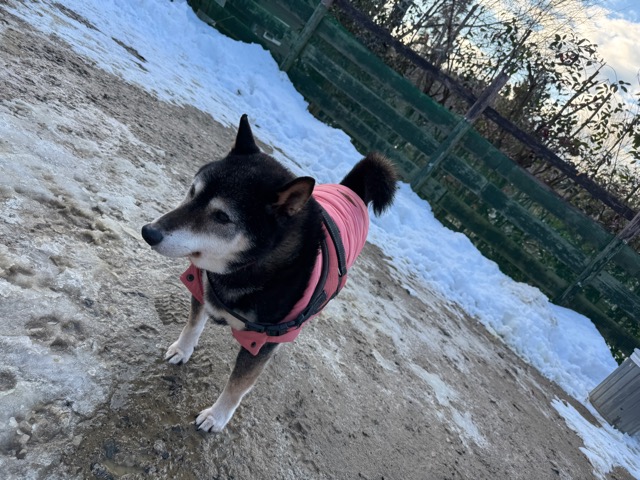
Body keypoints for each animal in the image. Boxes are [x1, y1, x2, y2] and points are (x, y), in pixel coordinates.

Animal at [141, 115, 397, 432]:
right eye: (193, 191)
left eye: (222, 217)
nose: (149, 232)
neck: (244, 271)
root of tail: (352, 189)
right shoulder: (201, 287)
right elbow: (193, 324)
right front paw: (182, 350)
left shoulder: (260, 342)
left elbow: (238, 384)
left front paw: (216, 416)